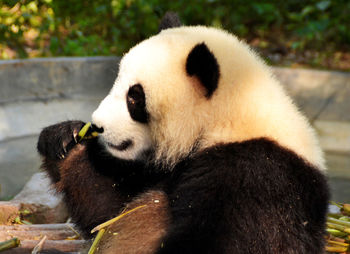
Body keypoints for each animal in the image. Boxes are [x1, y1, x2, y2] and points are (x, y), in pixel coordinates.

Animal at [37, 13, 328, 254]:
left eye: (134, 97)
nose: (98, 125)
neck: (227, 118)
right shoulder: (166, 170)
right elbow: (110, 210)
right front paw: (66, 139)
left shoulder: (255, 174)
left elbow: (232, 241)